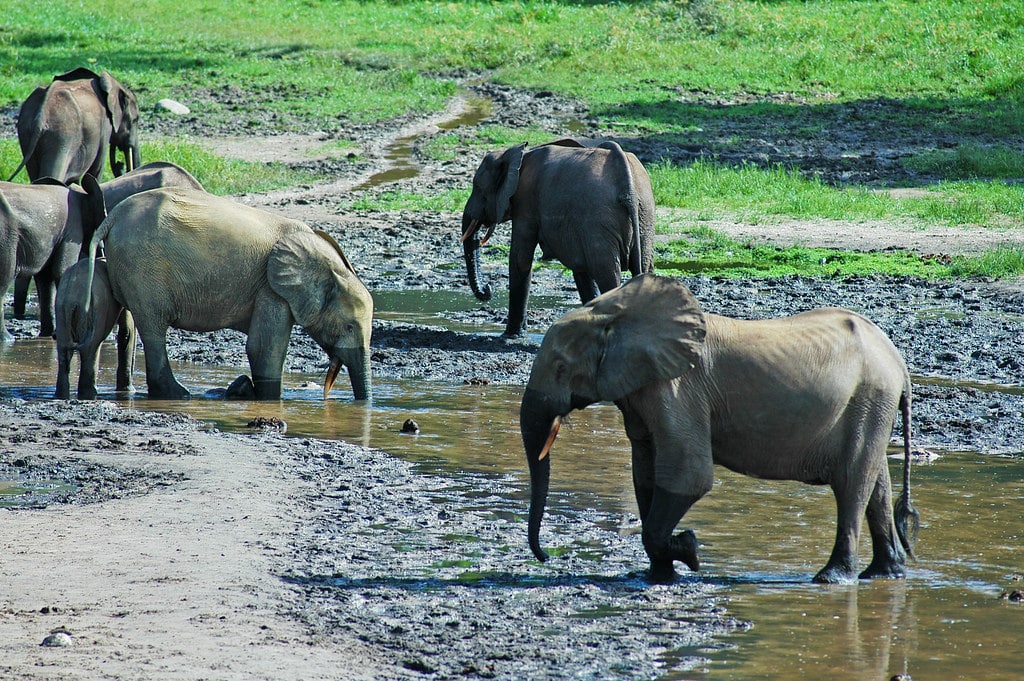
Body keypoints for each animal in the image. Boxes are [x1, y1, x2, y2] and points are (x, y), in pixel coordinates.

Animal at [8, 68, 141, 184]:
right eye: (135, 120)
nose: (120, 164)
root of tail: (40, 118)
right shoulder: (105, 125)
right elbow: (97, 169)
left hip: (26, 133)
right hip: (62, 137)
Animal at [54, 257, 136, 400]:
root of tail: (72, 295)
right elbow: (127, 332)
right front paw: (129, 391)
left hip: (61, 310)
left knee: (63, 351)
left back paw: (61, 396)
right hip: (94, 310)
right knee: (91, 347)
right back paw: (90, 394)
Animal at [77, 187, 374, 401]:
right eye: (349, 326)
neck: (328, 263)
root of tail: (113, 216)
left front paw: (244, 390)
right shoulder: (271, 288)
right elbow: (264, 348)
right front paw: (267, 399)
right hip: (143, 267)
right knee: (154, 328)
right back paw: (179, 395)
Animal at [461, 138, 655, 338]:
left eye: (477, 187)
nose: (488, 289)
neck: (514, 155)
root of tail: (628, 188)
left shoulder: (526, 202)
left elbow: (520, 259)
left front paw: (510, 336)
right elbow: (581, 269)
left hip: (602, 218)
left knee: (608, 275)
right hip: (644, 216)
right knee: (644, 268)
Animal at [520, 274, 919, 584]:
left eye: (560, 367)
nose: (546, 558)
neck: (611, 312)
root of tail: (898, 361)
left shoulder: (678, 389)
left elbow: (689, 476)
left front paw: (690, 551)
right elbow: (645, 476)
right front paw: (659, 575)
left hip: (871, 395)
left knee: (852, 481)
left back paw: (832, 578)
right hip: (873, 403)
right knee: (875, 482)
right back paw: (884, 574)